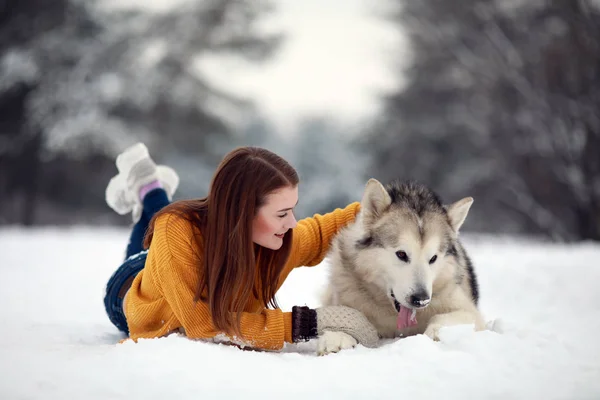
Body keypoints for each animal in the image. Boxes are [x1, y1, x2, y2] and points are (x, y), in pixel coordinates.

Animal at [322, 178, 486, 354]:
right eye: (401, 254)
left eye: (433, 258)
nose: (420, 300)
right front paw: (337, 336)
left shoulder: (470, 312)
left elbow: (444, 317)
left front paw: (436, 332)